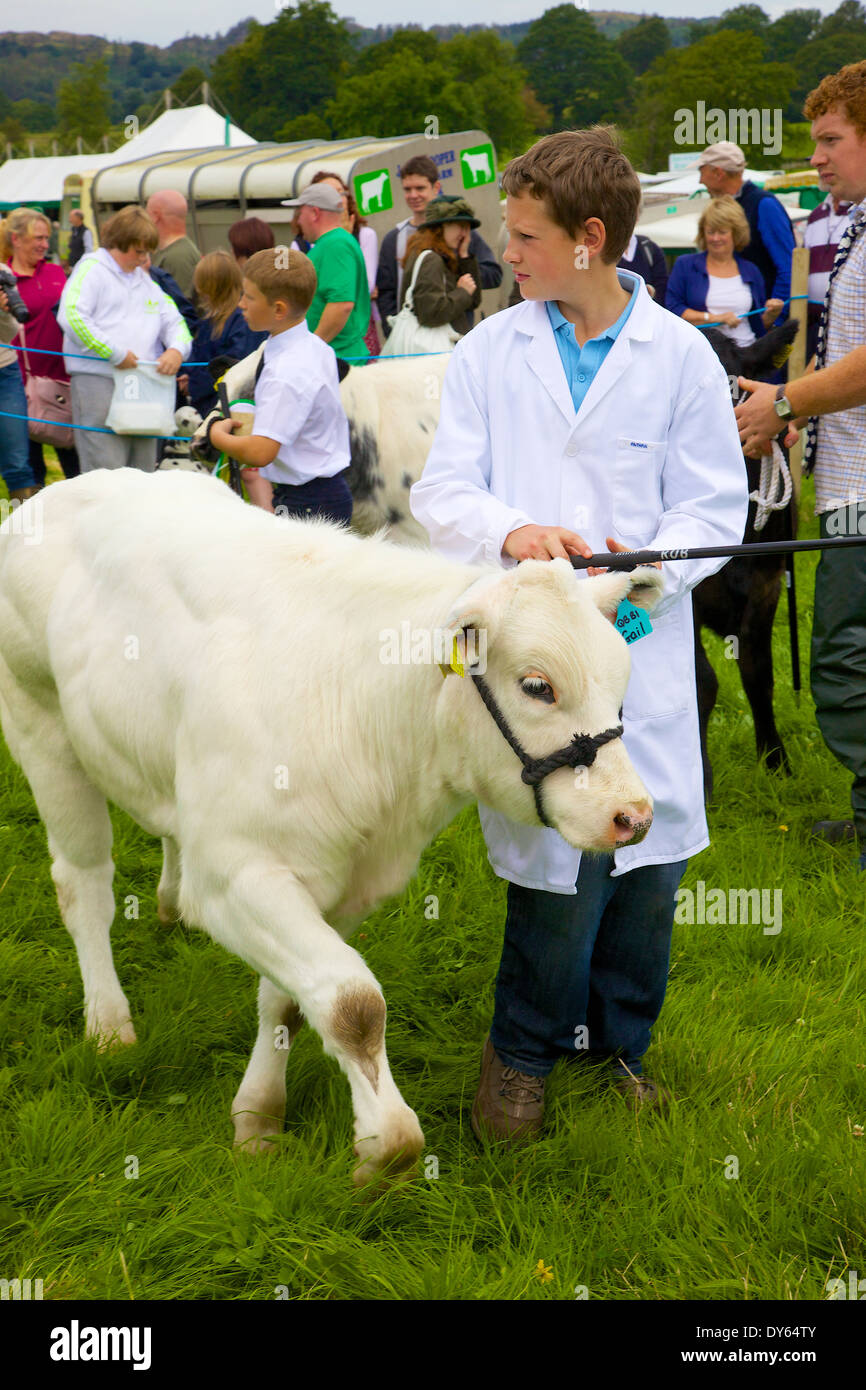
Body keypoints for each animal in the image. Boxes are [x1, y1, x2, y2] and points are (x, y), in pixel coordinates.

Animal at [1, 469, 664, 1184]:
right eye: (538, 685)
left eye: (621, 681)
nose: (634, 815)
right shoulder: (238, 876)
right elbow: (354, 1003)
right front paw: (386, 1144)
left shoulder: (347, 886)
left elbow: (294, 1001)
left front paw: (259, 1116)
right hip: (41, 726)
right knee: (84, 886)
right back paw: (107, 1022)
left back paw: (169, 904)